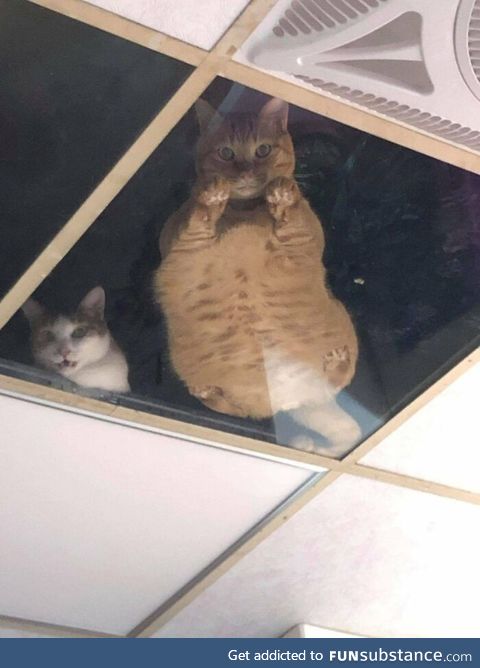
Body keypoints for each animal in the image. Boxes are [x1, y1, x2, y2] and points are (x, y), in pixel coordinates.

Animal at [155, 96, 360, 456]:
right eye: (226, 153)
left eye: (263, 150)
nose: (247, 170)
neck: (246, 210)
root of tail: (286, 398)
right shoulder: (182, 246)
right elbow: (198, 220)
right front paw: (213, 196)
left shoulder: (302, 240)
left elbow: (291, 216)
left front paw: (282, 196)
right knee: (230, 407)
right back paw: (208, 391)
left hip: (343, 331)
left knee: (341, 390)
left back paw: (335, 363)